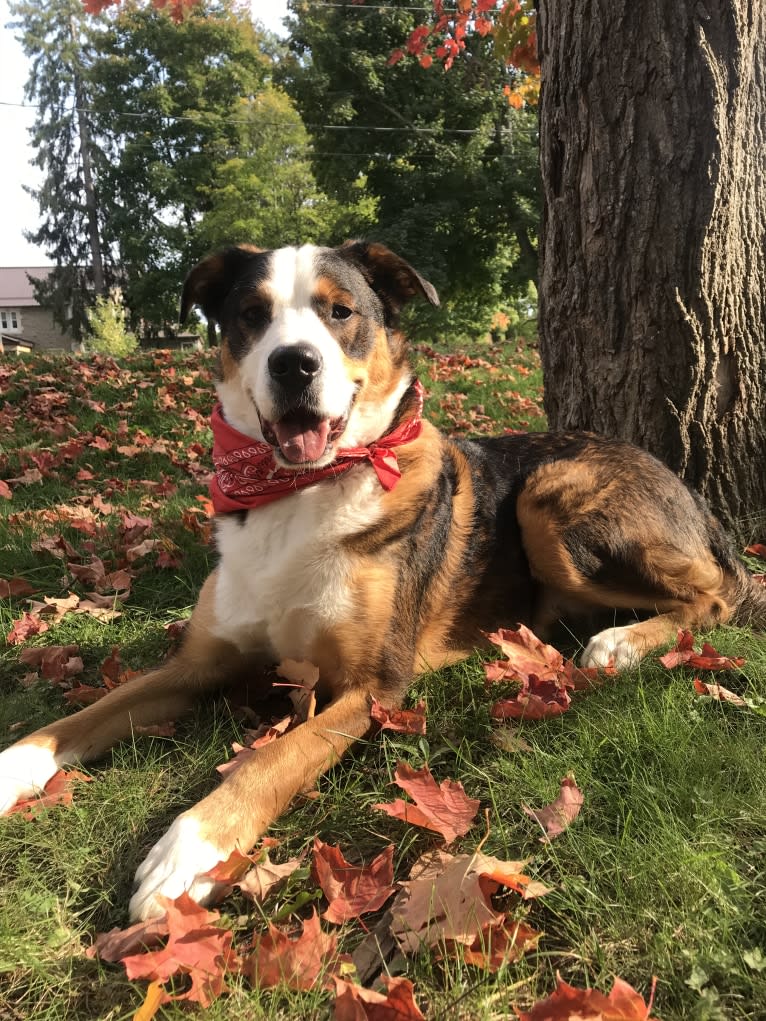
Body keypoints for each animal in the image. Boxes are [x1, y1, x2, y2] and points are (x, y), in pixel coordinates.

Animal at [1, 240, 766, 918]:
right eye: (251, 313)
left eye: (340, 311)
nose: (294, 363)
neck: (300, 491)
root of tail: (689, 491)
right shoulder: (194, 664)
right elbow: (87, 713)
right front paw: (15, 765)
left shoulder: (373, 686)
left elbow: (272, 759)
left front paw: (191, 848)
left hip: (549, 495)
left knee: (716, 594)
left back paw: (624, 643)